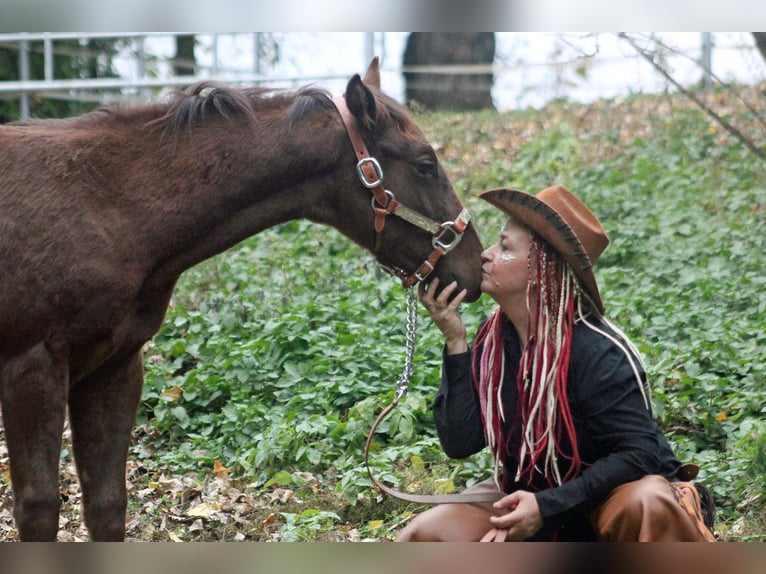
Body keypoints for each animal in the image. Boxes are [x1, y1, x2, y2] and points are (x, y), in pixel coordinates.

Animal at [0, 58, 483, 541]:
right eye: (425, 164)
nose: (474, 266)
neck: (105, 206)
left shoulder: (114, 368)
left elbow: (106, 504)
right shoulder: (32, 369)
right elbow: (39, 508)